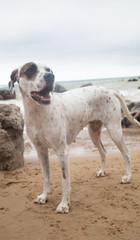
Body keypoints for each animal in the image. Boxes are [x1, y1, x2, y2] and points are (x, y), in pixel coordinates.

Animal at [9, 62, 139, 214]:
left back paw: (127, 177)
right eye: (30, 70)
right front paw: (44, 197)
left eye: (49, 70)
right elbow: (46, 177)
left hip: (114, 131)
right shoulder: (41, 151)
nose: (50, 76)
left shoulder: (62, 152)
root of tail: (110, 90)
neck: (38, 111)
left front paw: (64, 204)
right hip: (94, 132)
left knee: (126, 153)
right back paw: (102, 171)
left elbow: (65, 181)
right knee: (103, 151)